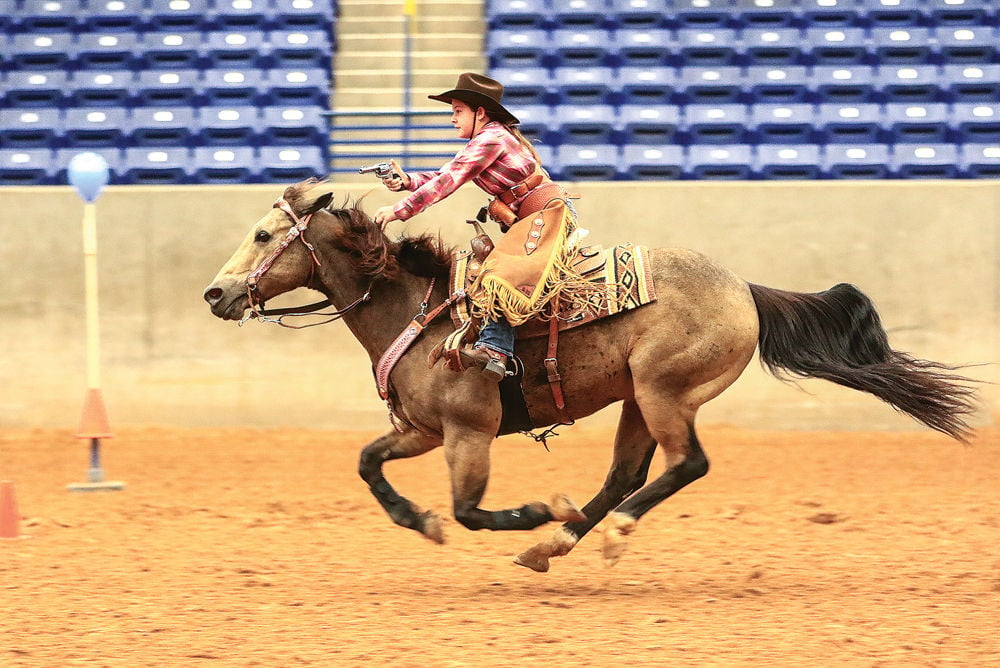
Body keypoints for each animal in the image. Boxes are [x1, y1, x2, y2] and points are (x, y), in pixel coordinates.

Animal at [203, 179, 976, 576]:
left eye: (264, 236)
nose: (216, 294)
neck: (420, 310)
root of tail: (745, 291)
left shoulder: (469, 432)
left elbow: (470, 509)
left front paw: (532, 510)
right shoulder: (422, 430)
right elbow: (368, 464)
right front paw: (420, 522)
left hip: (665, 392)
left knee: (685, 465)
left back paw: (585, 532)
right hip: (637, 399)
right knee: (627, 475)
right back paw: (555, 544)